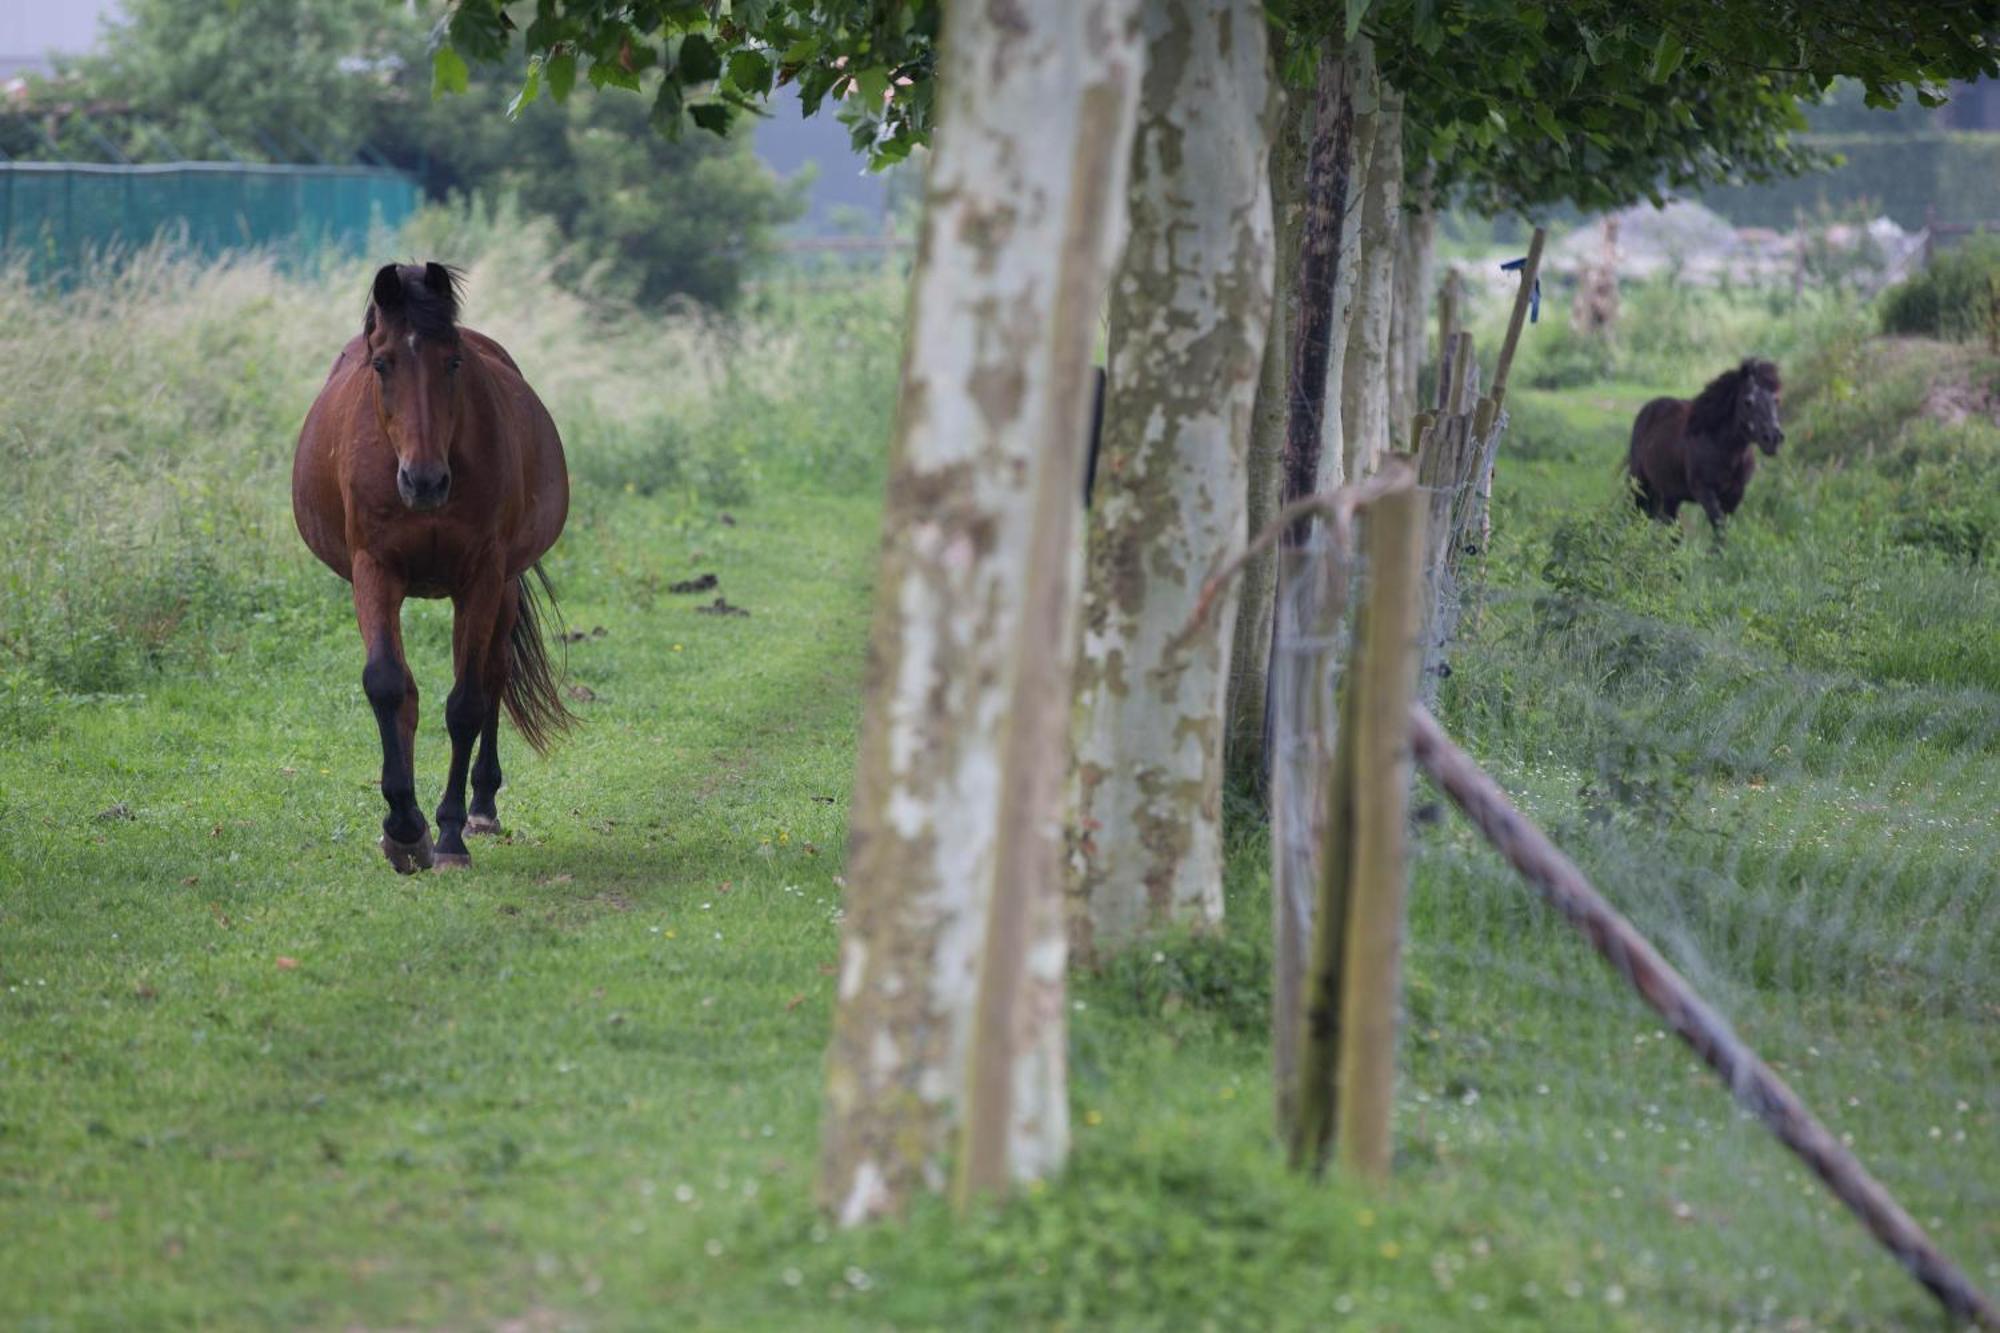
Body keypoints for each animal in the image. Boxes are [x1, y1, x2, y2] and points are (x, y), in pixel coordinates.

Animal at [1632, 360, 1792, 536]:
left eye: (1776, 400)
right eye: (1748, 401)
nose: (1773, 438)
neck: (1724, 449)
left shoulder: (1735, 495)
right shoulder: (1704, 491)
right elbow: (1719, 526)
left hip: (1669, 495)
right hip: (1641, 485)